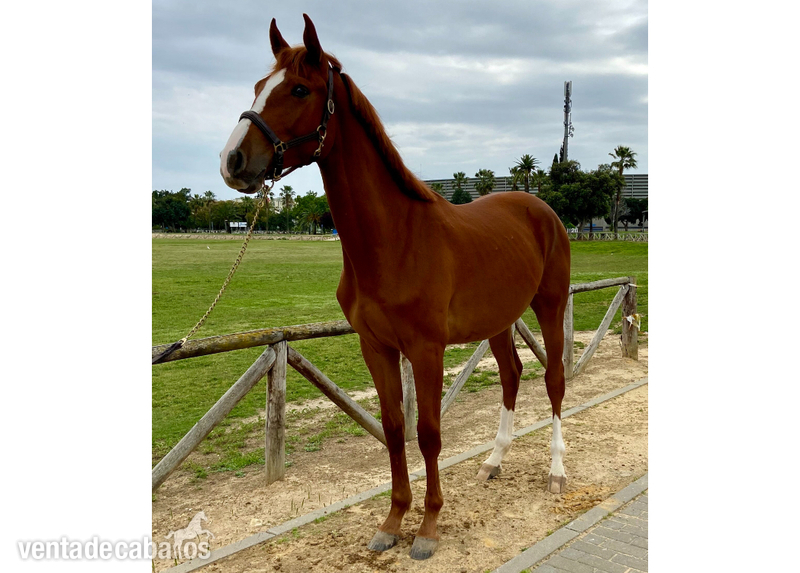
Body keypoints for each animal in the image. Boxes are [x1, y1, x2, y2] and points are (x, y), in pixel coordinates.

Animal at [220, 14, 571, 560]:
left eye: (299, 89)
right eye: (259, 86)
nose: (233, 160)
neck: (395, 239)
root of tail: (541, 208)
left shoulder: (425, 350)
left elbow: (428, 434)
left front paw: (428, 527)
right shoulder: (376, 347)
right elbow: (392, 429)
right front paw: (392, 521)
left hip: (550, 305)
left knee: (553, 379)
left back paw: (556, 471)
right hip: (500, 318)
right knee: (512, 376)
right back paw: (493, 462)